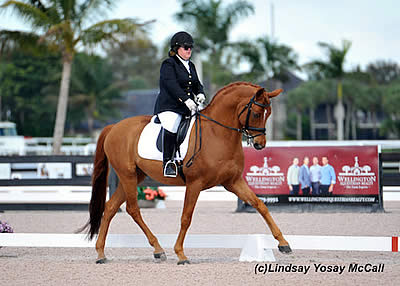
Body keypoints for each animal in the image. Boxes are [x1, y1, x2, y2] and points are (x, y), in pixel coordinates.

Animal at [79, 81, 292, 264]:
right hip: (127, 175)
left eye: (268, 114)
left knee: (110, 207)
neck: (218, 134)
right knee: (133, 209)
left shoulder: (233, 182)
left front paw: (284, 244)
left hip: (134, 176)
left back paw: (102, 253)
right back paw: (158, 249)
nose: (259, 144)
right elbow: (186, 217)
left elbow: (260, 205)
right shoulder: (195, 183)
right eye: (256, 113)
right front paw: (181, 255)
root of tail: (114, 127)